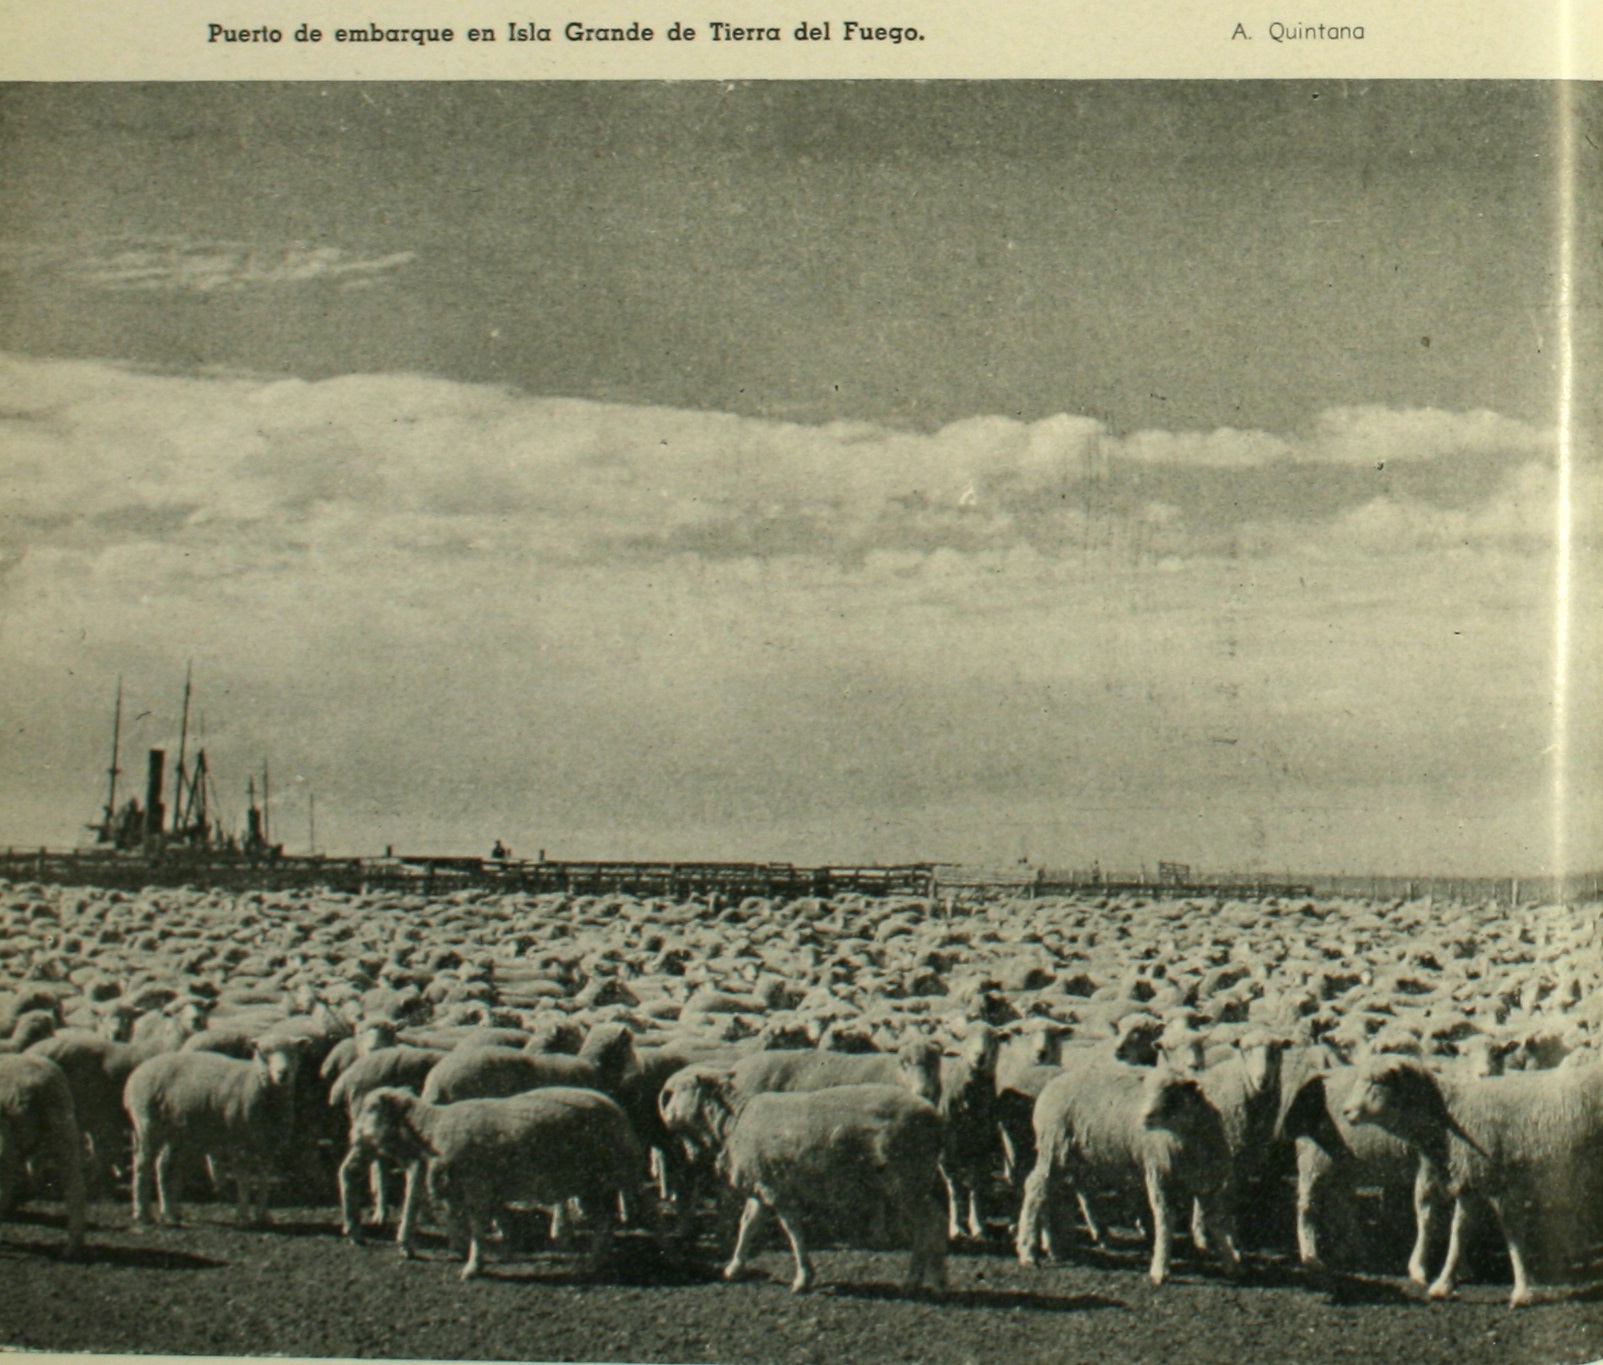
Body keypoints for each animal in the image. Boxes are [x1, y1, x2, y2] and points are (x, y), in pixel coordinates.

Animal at [349, 1083, 644, 1275]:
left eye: (371, 1108)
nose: (353, 1136)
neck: (431, 1130)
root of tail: (617, 1110)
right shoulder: (482, 1186)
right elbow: (486, 1219)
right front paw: (502, 1249)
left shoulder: (477, 1186)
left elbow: (478, 1226)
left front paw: (473, 1266)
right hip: (589, 1183)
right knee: (605, 1222)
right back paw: (596, 1261)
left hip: (612, 1172)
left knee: (633, 1212)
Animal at [657, 1063, 942, 1288]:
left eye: (677, 1090)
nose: (665, 1115)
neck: (733, 1122)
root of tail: (933, 1115)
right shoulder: (762, 1184)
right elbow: (748, 1224)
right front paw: (734, 1267)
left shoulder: (778, 1189)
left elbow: (793, 1231)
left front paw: (803, 1277)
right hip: (918, 1177)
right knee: (934, 1220)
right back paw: (937, 1277)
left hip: (906, 1178)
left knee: (926, 1224)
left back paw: (915, 1279)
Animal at [1013, 1063, 1237, 1288]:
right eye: (1147, 1090)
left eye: (1173, 1092)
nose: (1145, 1116)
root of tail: (1050, 1087)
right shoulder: (1159, 1174)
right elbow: (1165, 1219)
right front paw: (1160, 1269)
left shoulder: (1211, 1183)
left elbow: (1218, 1222)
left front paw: (1231, 1263)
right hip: (1055, 1145)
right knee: (1036, 1187)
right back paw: (1028, 1251)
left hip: (1076, 1157)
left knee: (1058, 1192)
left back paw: (1059, 1247)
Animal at [1346, 1050, 1603, 1307]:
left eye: (1377, 1081)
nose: (1346, 1112)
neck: (1450, 1114)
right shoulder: (1473, 1182)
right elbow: (1463, 1232)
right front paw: (1445, 1284)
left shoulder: (1496, 1183)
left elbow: (1507, 1236)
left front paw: (1522, 1290)